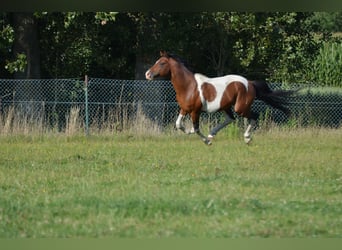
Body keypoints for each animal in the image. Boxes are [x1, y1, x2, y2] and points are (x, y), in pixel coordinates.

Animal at [144, 50, 294, 145]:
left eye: (162, 63)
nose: (147, 74)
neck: (188, 87)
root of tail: (250, 83)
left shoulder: (195, 111)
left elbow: (196, 128)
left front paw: (206, 141)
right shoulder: (184, 109)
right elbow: (178, 124)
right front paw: (189, 131)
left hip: (240, 107)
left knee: (253, 116)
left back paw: (246, 138)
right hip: (226, 107)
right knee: (231, 119)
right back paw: (212, 133)